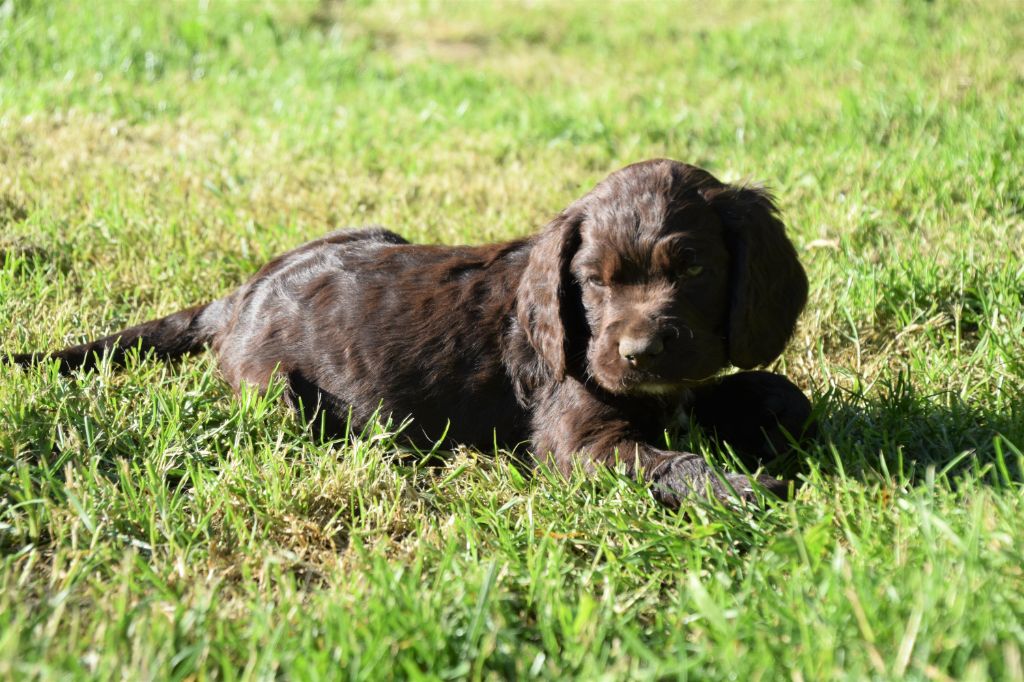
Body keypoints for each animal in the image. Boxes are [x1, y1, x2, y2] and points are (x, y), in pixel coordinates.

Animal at [9, 159, 812, 506]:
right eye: (593, 282)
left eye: (694, 267)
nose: (639, 353)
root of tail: (238, 296)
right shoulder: (580, 440)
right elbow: (672, 462)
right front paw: (741, 486)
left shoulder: (679, 386)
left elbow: (777, 391)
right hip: (275, 396)